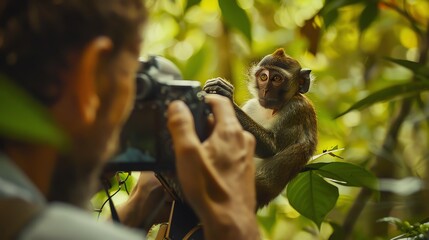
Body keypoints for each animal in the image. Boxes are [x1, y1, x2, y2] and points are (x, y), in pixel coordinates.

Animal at [202, 47, 316, 207]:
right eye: (263, 77)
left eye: (276, 79)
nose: (265, 90)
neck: (272, 109)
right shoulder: (253, 105)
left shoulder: (297, 109)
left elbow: (272, 148)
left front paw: (225, 94)